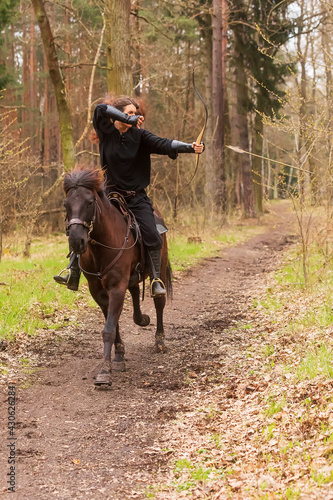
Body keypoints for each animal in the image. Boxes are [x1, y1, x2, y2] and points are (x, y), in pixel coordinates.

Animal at [62, 169, 171, 386]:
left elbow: (109, 329)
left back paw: (159, 340)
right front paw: (119, 356)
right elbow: (113, 323)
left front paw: (104, 372)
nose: (77, 242)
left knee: (159, 302)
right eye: (65, 204)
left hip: (160, 270)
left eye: (90, 202)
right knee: (136, 291)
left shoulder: (116, 288)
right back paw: (142, 319)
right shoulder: (98, 292)